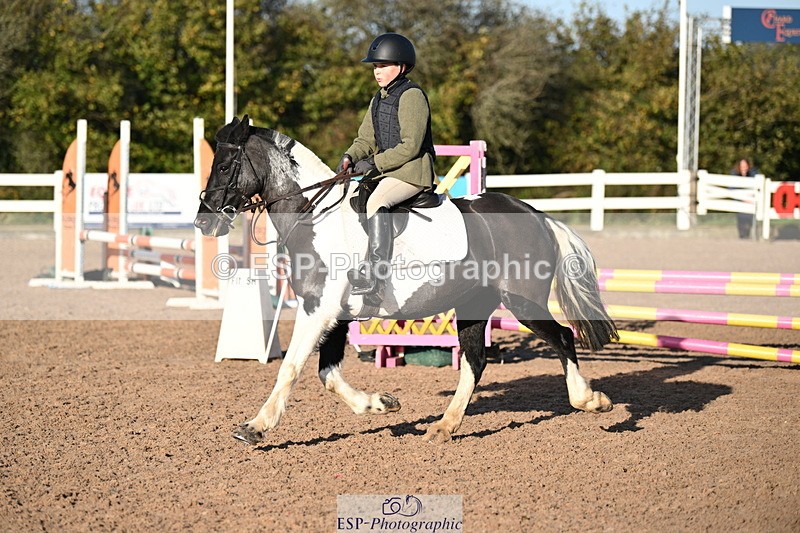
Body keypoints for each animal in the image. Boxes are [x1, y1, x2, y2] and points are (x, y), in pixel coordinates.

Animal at [194, 115, 618, 446]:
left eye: (226, 165)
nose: (203, 221)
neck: (314, 216)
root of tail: (536, 214)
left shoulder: (318, 310)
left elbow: (291, 368)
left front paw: (255, 427)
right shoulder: (336, 315)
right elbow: (328, 375)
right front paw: (380, 403)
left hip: (520, 301)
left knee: (562, 337)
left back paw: (591, 400)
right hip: (473, 305)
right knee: (475, 362)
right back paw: (443, 427)